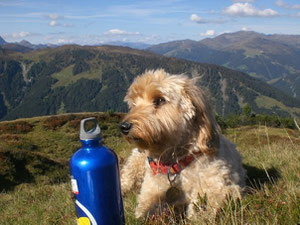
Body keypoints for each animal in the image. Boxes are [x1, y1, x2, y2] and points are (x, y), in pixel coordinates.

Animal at [119, 69, 246, 220]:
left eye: (159, 100)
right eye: (133, 104)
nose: (124, 127)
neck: (176, 162)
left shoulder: (220, 186)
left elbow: (204, 205)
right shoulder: (150, 193)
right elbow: (146, 209)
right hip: (134, 166)